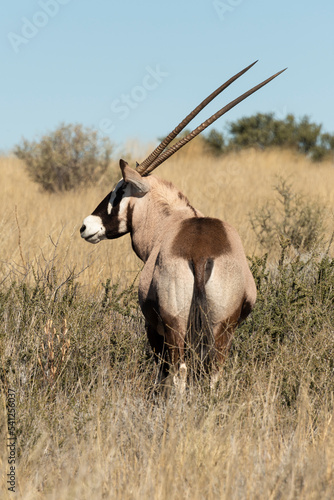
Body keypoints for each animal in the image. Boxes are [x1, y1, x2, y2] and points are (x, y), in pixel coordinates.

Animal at [80, 62, 284, 388]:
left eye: (120, 189)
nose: (86, 226)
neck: (170, 221)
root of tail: (199, 255)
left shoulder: (153, 325)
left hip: (176, 327)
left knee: (179, 373)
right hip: (222, 329)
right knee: (213, 374)